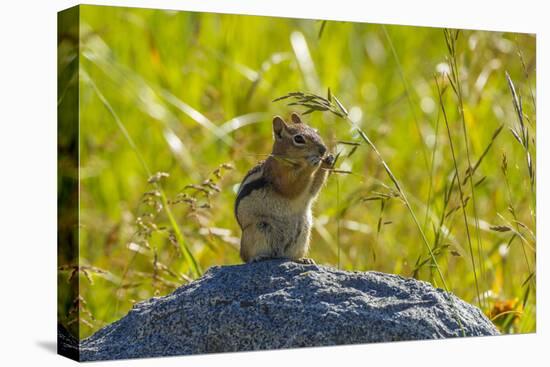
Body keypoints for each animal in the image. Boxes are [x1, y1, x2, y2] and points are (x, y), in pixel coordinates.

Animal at [235, 113, 334, 264]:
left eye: (316, 131)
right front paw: (313, 163)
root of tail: (278, 254)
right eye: (298, 139)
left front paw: (328, 160)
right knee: (246, 257)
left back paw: (303, 259)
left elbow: (314, 187)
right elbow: (291, 188)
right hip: (256, 230)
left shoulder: (309, 190)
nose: (323, 149)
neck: (293, 164)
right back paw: (258, 257)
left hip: (303, 234)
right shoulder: (279, 177)